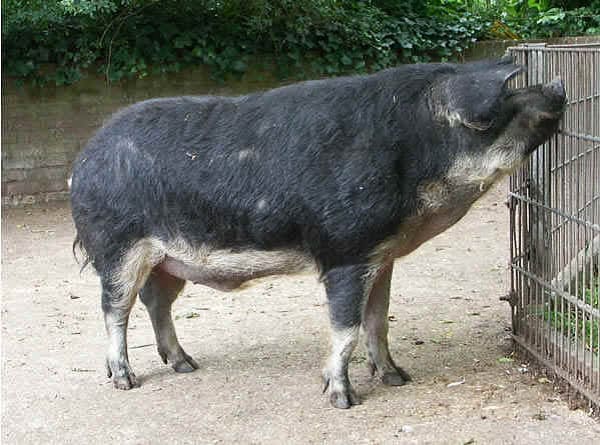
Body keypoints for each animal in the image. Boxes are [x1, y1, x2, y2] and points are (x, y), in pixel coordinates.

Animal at [68, 58, 564, 410]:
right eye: (503, 104)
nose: (558, 84)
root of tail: (83, 161)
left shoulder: (381, 255)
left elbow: (378, 320)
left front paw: (397, 378)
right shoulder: (345, 250)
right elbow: (345, 327)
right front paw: (344, 400)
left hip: (167, 261)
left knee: (156, 304)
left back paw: (186, 366)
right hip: (117, 247)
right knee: (114, 310)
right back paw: (126, 381)